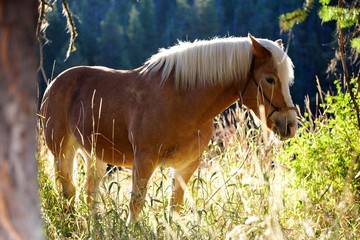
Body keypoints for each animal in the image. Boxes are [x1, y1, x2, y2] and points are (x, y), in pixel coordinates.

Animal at [40, 34, 298, 225]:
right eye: (269, 79)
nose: (289, 125)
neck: (183, 102)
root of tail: (55, 83)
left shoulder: (187, 165)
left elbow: (175, 207)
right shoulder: (144, 161)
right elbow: (136, 205)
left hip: (94, 154)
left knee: (89, 193)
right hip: (63, 152)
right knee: (68, 191)